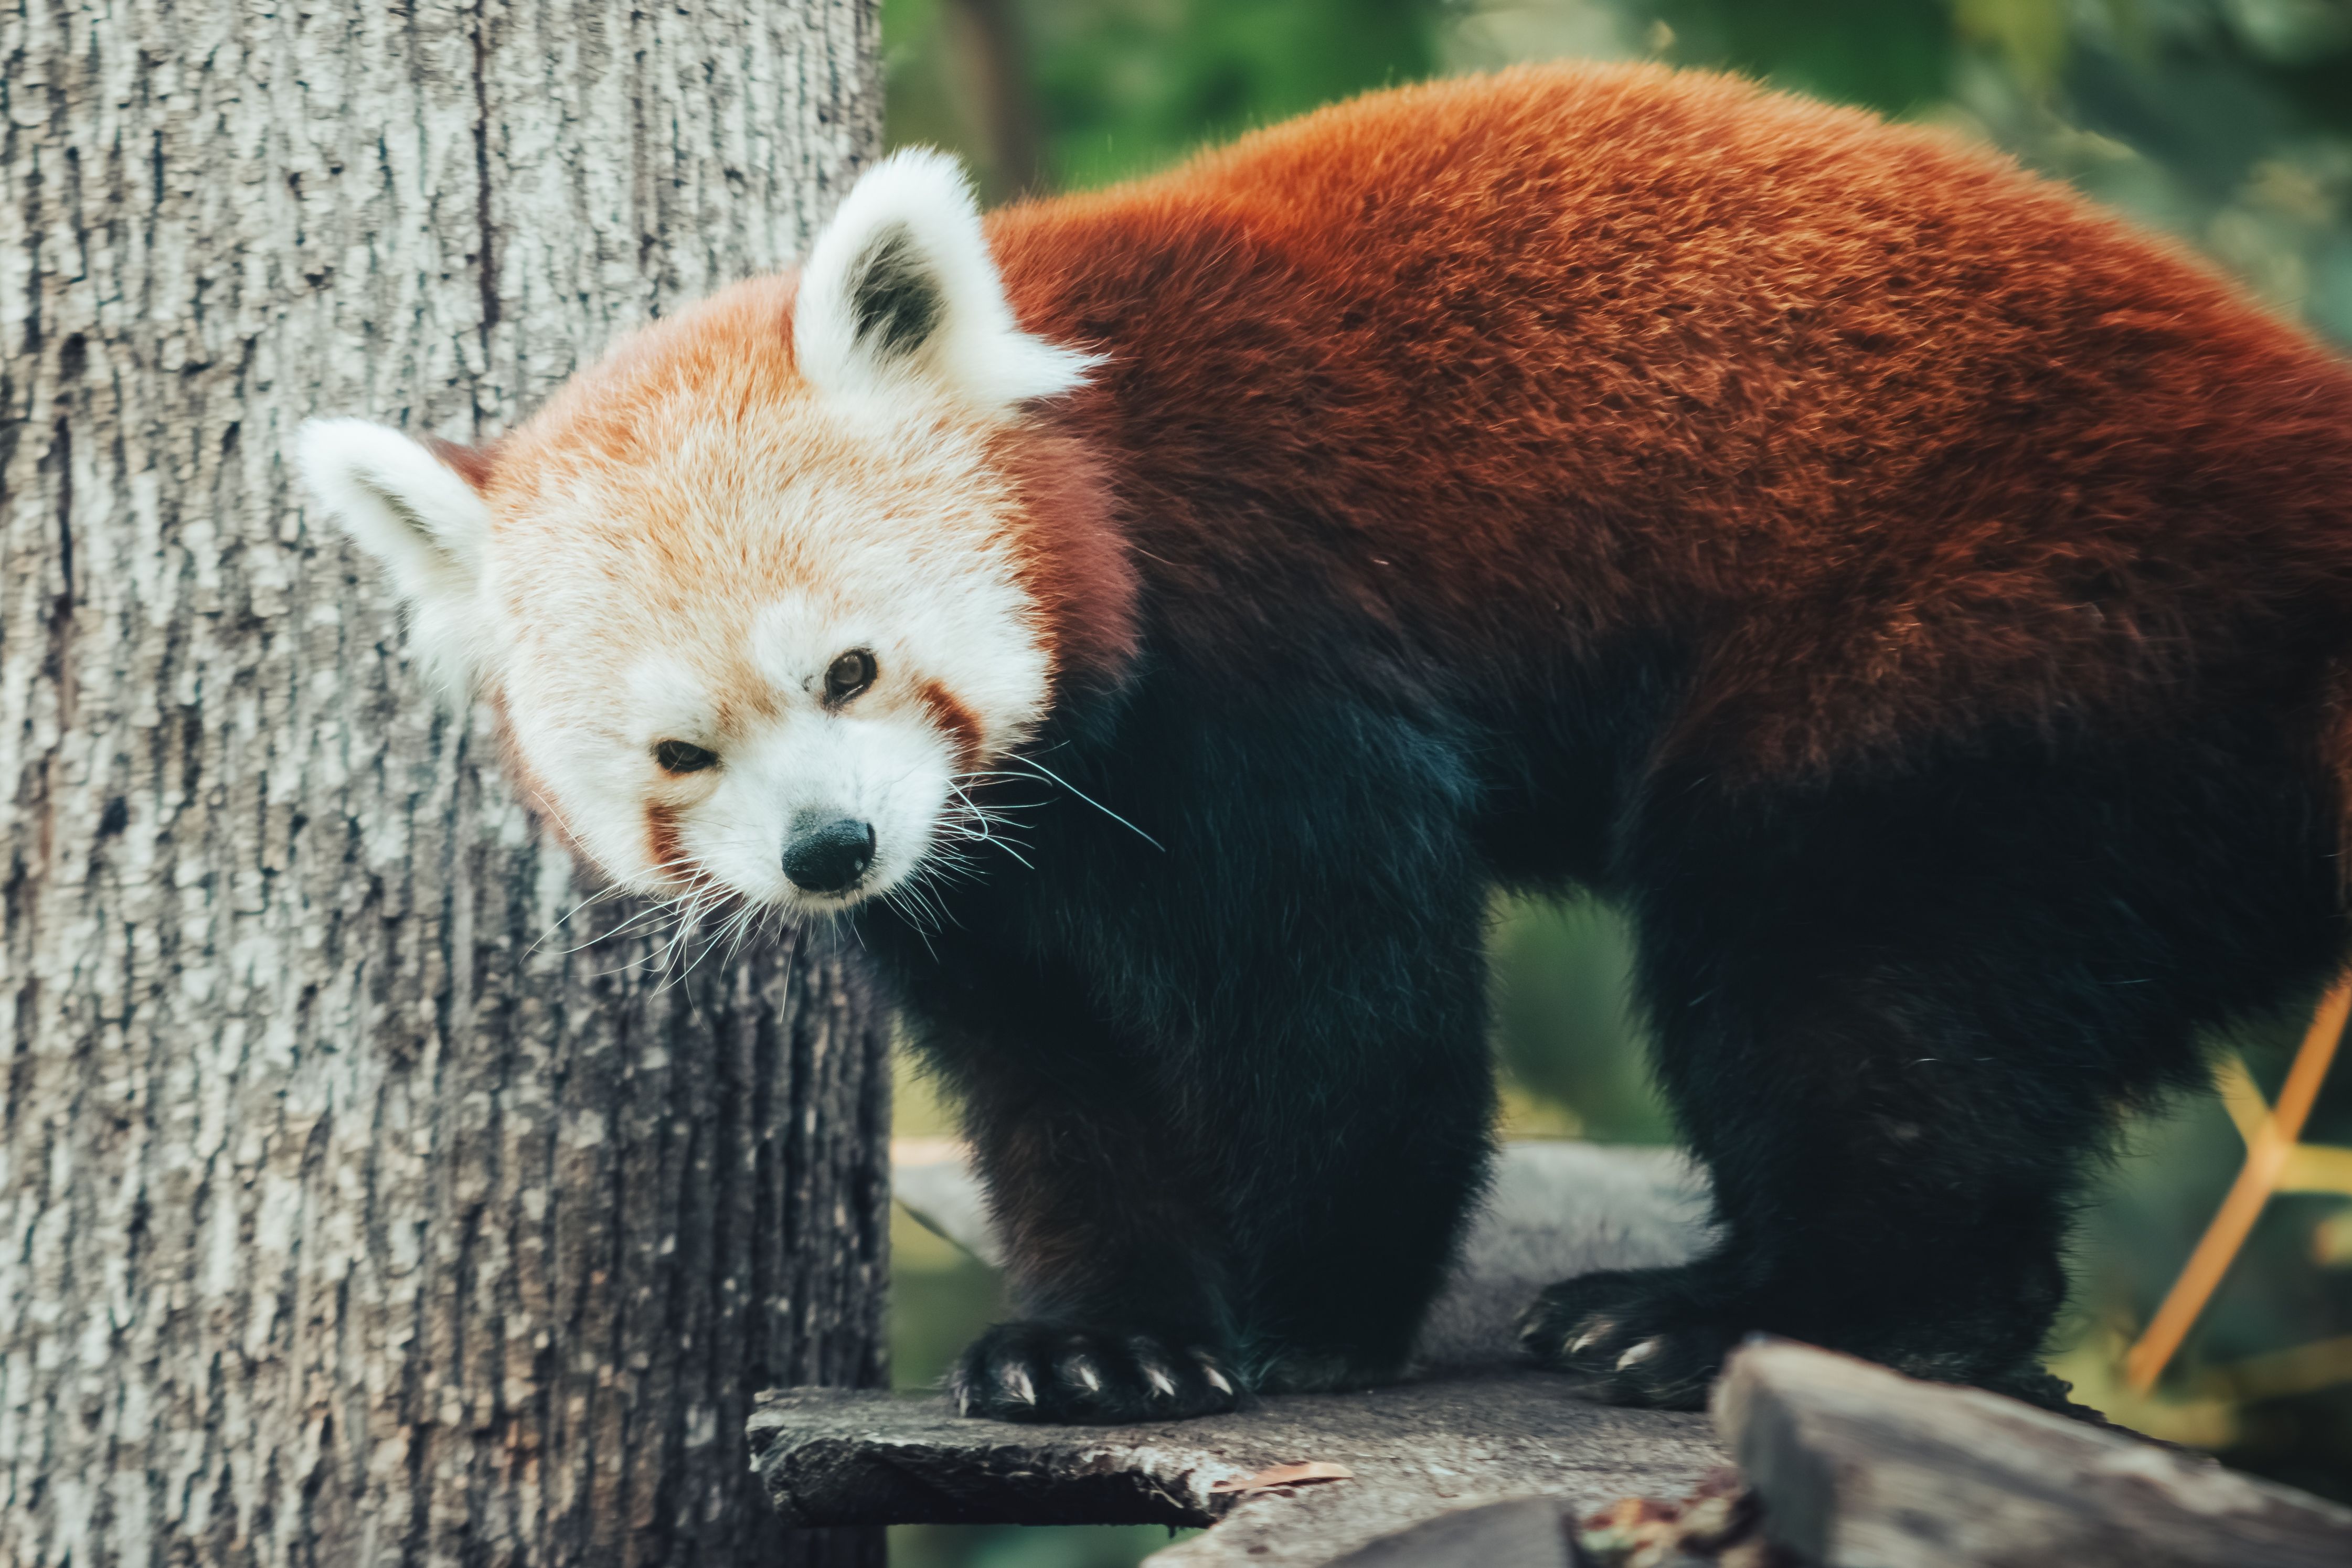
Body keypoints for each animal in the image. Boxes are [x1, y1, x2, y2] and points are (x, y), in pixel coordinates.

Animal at [300, 62, 2352, 1422]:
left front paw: (1310, 1311)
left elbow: (1351, 1013)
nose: (827, 848)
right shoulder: (987, 875)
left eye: (853, 669)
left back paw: (1775, 1313)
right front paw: (1098, 1332)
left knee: (1847, 966)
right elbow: (1055, 1078)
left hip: (2004, 623)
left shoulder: (1273, 656)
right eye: (680, 755)